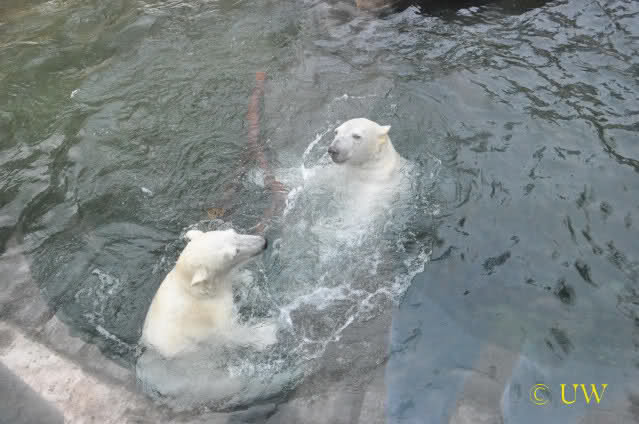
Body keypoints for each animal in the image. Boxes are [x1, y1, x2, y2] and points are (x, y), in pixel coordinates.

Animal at [141, 228, 276, 358]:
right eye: (235, 252)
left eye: (234, 232)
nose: (264, 242)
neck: (192, 290)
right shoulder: (211, 313)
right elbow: (230, 333)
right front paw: (267, 334)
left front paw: (245, 277)